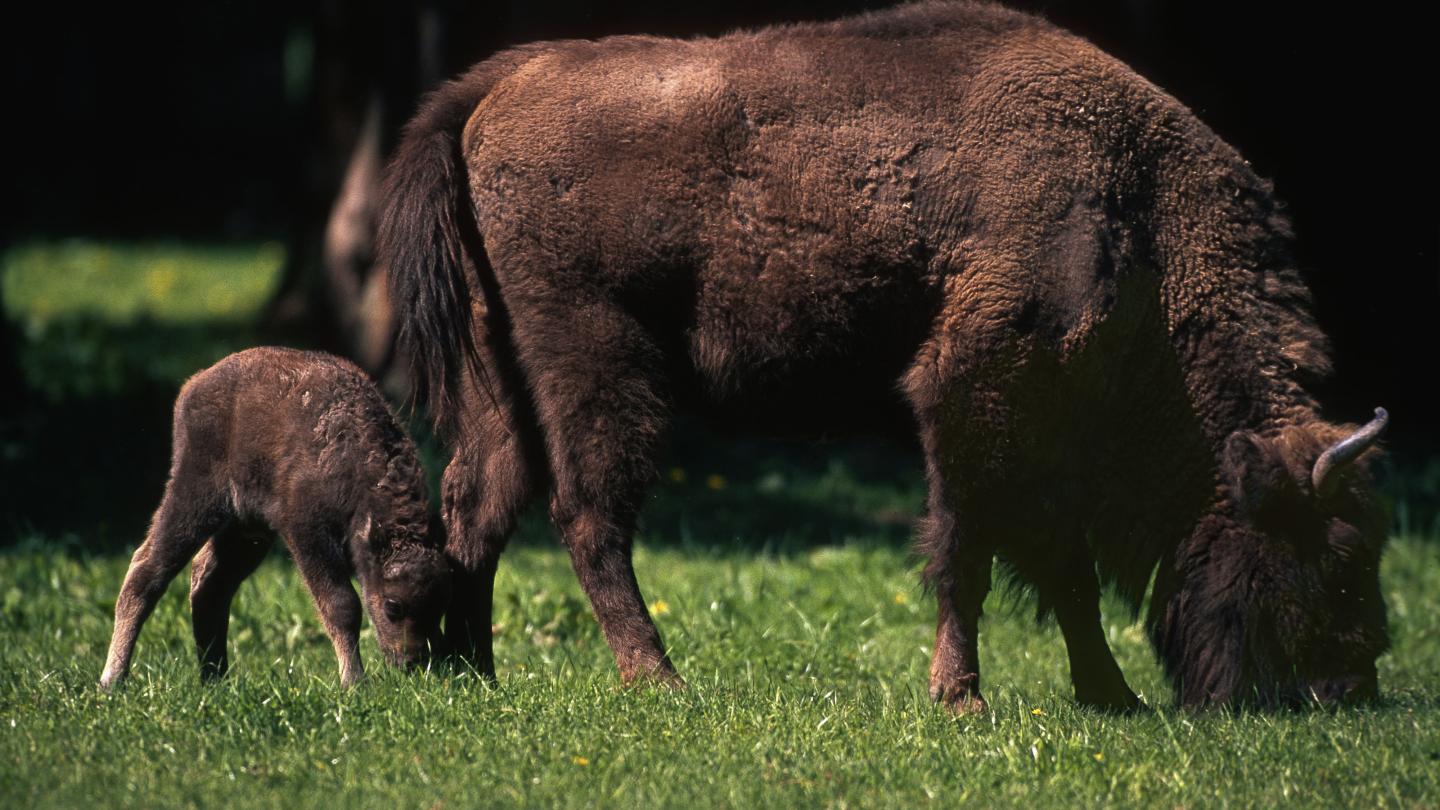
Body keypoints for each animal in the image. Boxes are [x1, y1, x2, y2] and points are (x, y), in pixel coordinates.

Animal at [378, 0, 1391, 709]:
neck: (1133, 206)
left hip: (500, 381)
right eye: (1338, 553)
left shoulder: (1050, 433)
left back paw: (470, 673)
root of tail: (502, 85)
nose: (1354, 683)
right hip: (599, 367)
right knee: (588, 517)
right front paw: (961, 700)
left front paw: (1113, 696)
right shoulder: (972, 392)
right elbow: (967, 550)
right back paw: (659, 682)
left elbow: (1062, 567)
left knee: (478, 504)